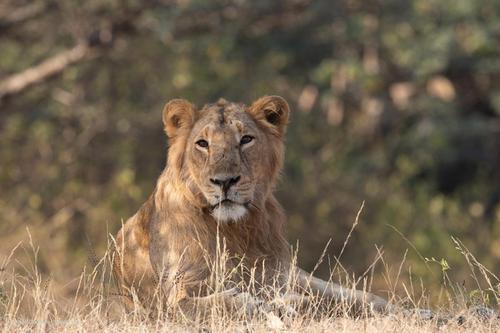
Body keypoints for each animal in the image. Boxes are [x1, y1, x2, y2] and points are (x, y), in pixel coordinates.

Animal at [113, 95, 390, 316]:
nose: (224, 181)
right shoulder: (172, 299)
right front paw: (263, 304)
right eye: (202, 143)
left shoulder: (277, 276)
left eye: (246, 139)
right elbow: (215, 304)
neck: (236, 230)